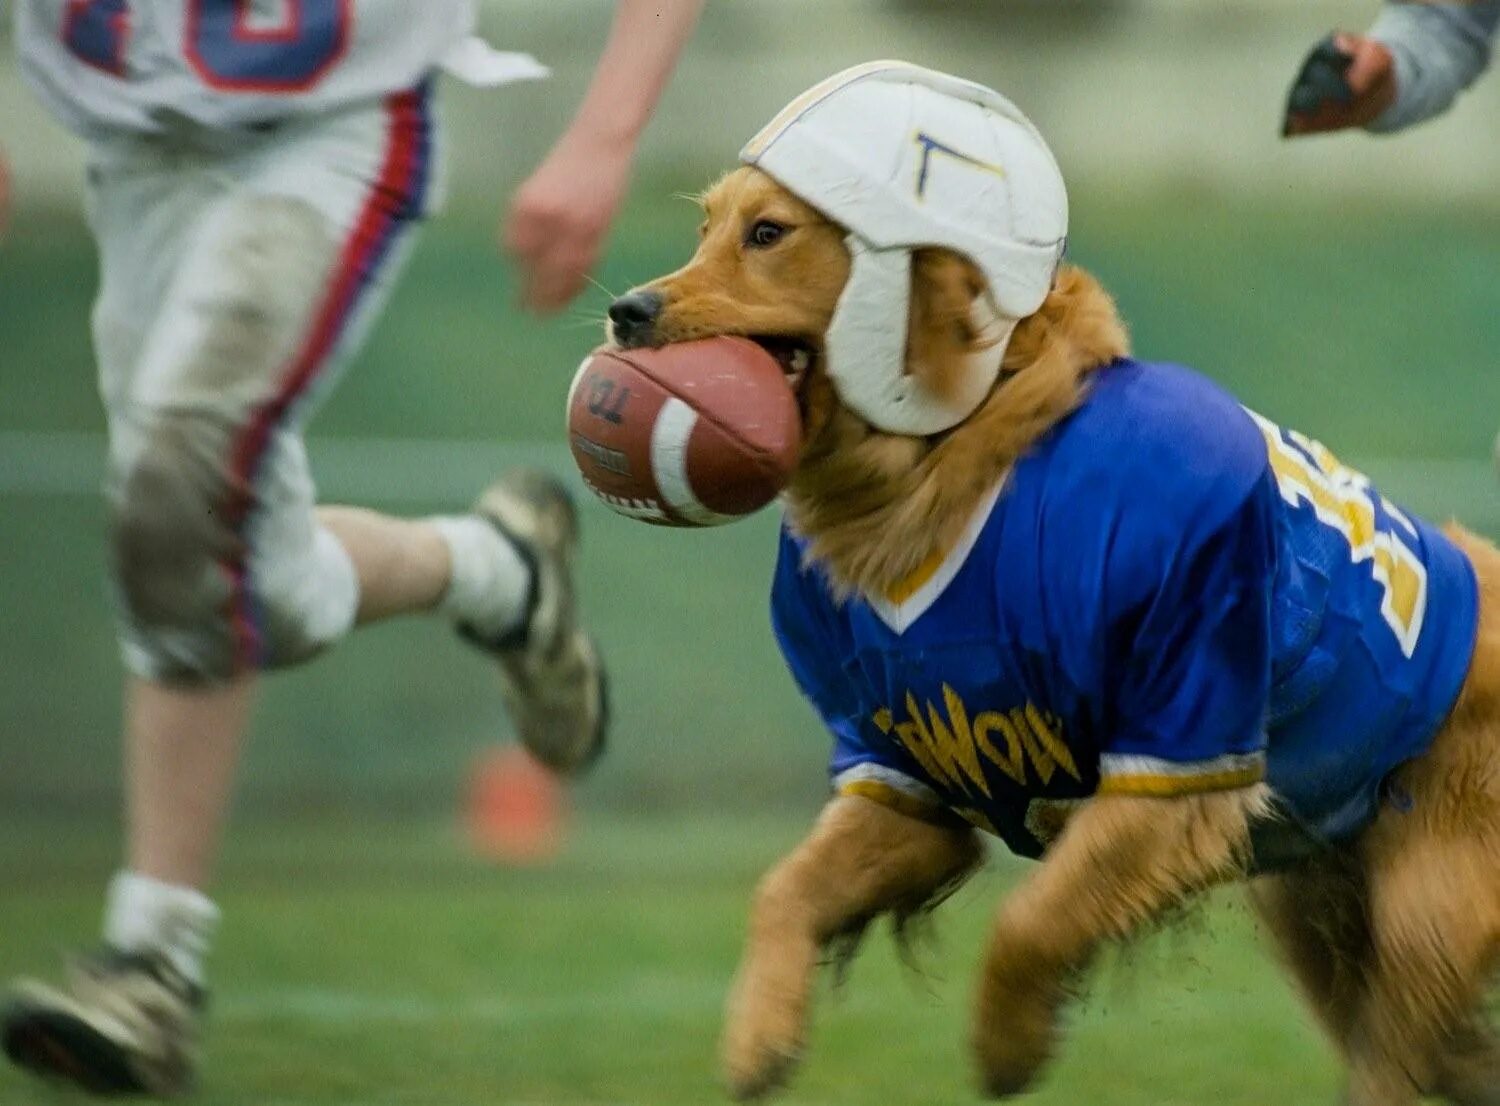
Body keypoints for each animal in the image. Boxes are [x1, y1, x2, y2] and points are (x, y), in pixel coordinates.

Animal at [606, 62, 1500, 1104]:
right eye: (707, 227)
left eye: (768, 234)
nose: (626, 311)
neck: (951, 458)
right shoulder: (901, 778)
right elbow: (784, 887)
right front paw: (760, 1030)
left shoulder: (1173, 767)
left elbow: (1027, 920)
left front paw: (1009, 1043)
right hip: (1317, 913)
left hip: (1424, 914)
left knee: (1397, 1057)